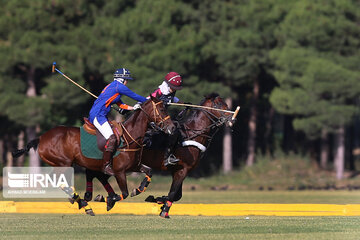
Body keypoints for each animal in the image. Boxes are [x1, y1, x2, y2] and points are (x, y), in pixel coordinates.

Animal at [13, 95, 176, 212]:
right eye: (162, 110)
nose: (173, 128)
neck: (130, 136)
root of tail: (41, 138)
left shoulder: (134, 166)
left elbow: (149, 172)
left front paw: (138, 189)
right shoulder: (119, 171)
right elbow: (124, 193)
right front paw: (109, 200)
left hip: (62, 164)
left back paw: (81, 202)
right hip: (63, 163)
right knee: (60, 182)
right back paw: (84, 204)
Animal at [86, 93, 235, 218]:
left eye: (225, 104)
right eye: (218, 105)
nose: (232, 118)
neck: (192, 134)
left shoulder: (177, 170)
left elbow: (177, 194)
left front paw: (158, 200)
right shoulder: (183, 169)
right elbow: (173, 193)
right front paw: (163, 211)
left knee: (98, 175)